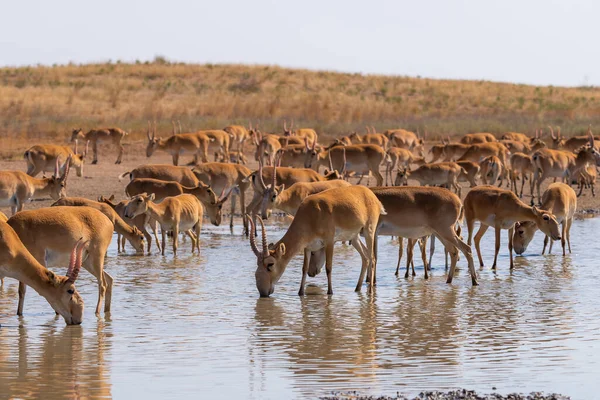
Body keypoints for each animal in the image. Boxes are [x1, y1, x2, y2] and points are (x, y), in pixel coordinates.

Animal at [247, 185, 384, 296]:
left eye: (270, 264)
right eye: (258, 263)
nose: (263, 292)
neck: (311, 213)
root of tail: (372, 196)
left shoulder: (329, 242)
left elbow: (329, 267)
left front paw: (330, 292)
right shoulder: (307, 247)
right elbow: (304, 268)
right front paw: (300, 292)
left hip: (369, 231)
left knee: (372, 257)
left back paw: (370, 291)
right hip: (354, 237)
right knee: (365, 257)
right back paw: (357, 288)